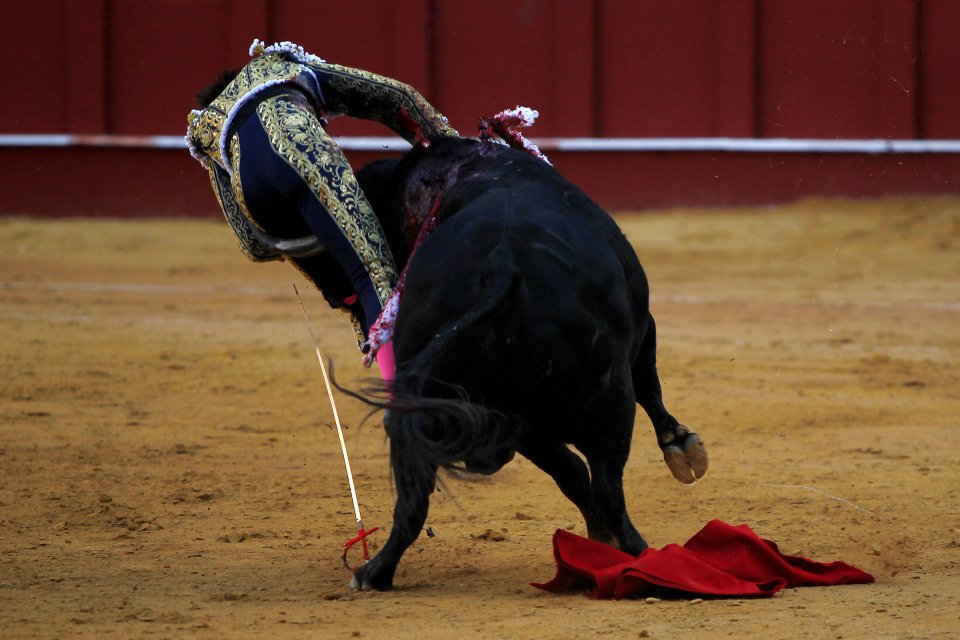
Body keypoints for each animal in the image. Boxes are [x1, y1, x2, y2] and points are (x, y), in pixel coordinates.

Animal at [326, 139, 708, 592]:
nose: (340, 298)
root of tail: (497, 270)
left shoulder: (513, 425)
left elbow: (569, 472)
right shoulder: (643, 328)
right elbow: (650, 389)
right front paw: (681, 445)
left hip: (429, 407)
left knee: (413, 504)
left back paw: (374, 572)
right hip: (609, 402)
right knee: (609, 484)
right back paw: (639, 553)